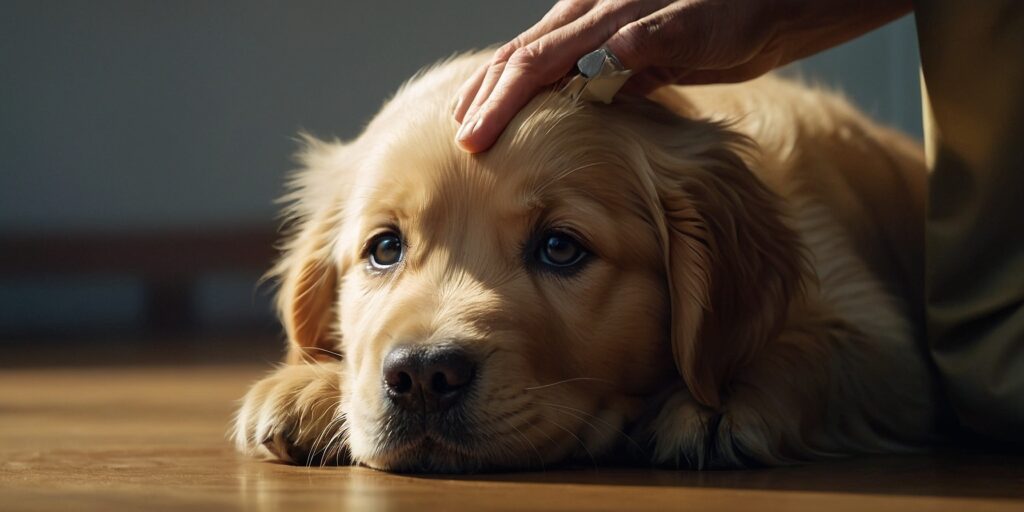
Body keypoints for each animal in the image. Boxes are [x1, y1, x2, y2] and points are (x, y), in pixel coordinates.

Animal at [235, 52, 937, 471]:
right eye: (384, 249)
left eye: (560, 248)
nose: (424, 377)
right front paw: (310, 388)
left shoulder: (889, 349)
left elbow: (814, 347)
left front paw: (715, 402)